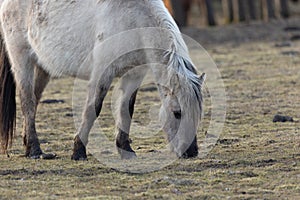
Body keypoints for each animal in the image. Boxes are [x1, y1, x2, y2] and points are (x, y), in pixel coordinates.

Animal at [0, 0, 205, 160]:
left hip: (42, 66)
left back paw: (29, 145)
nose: (191, 152)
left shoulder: (134, 75)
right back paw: (35, 150)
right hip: (22, 58)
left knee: (34, 100)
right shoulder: (102, 73)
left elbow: (126, 109)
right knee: (27, 101)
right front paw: (78, 151)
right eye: (177, 113)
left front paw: (125, 149)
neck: (134, 19)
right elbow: (93, 109)